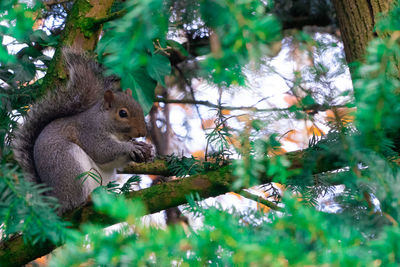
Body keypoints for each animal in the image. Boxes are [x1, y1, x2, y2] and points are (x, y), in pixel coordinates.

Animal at [12, 48, 153, 214]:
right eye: (123, 113)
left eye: (139, 106)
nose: (142, 132)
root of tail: (54, 201)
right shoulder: (89, 132)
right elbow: (102, 151)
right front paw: (131, 147)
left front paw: (146, 150)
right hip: (69, 166)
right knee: (76, 201)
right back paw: (88, 199)